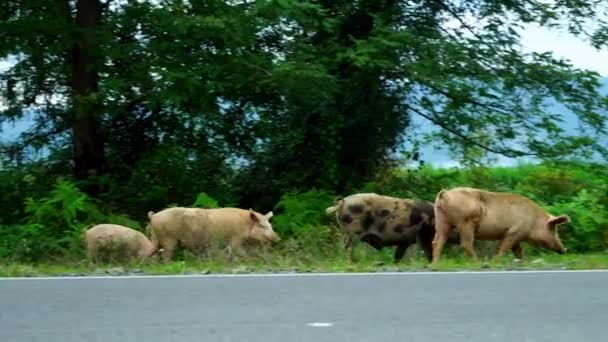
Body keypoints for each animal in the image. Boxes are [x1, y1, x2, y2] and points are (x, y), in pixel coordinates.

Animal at [147, 207, 280, 260]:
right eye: (262, 225)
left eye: (270, 225)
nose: (277, 238)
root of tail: (153, 216)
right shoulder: (236, 239)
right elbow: (240, 252)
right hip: (168, 239)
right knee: (166, 255)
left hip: (156, 239)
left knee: (149, 253)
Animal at [326, 194, 458, 264]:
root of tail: (342, 202)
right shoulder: (423, 234)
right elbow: (428, 251)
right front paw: (432, 263)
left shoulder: (404, 241)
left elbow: (398, 256)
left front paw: (395, 264)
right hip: (353, 232)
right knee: (347, 248)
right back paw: (350, 262)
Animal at [430, 187, 568, 264]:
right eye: (553, 229)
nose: (564, 249)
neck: (534, 220)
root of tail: (444, 194)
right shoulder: (514, 232)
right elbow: (504, 248)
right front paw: (496, 261)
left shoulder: (517, 235)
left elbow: (518, 252)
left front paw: (521, 262)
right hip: (465, 222)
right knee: (465, 243)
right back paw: (477, 261)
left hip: (441, 219)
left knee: (437, 241)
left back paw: (435, 264)